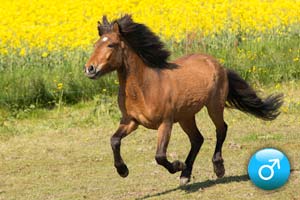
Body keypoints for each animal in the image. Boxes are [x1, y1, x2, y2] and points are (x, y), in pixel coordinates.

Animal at [84, 14, 284, 185]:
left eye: (111, 45)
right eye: (95, 44)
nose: (90, 69)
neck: (144, 87)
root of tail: (217, 64)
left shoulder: (165, 123)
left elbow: (160, 156)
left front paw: (178, 165)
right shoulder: (131, 121)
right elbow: (114, 140)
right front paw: (123, 170)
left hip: (214, 106)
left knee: (221, 130)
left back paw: (217, 168)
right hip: (186, 116)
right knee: (197, 139)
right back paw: (186, 175)